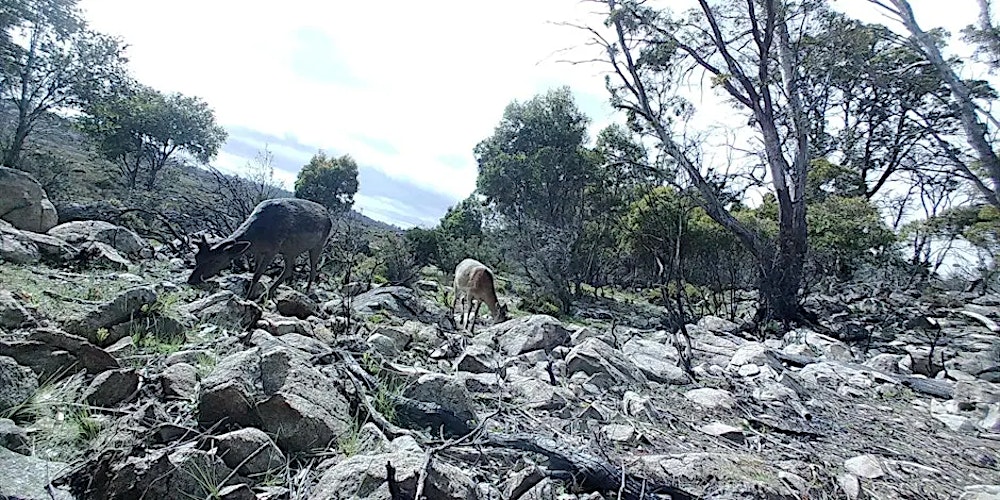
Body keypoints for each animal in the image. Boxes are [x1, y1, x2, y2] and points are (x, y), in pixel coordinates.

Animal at [187, 198, 333, 299]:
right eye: (197, 257)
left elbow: (257, 275)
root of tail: (329, 218)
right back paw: (269, 292)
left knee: (313, 269)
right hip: (290, 250)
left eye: (216, 260)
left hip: (319, 244)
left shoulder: (273, 249)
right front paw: (252, 295)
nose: (191, 279)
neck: (258, 237)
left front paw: (246, 298)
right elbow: (255, 271)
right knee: (289, 269)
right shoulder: (259, 251)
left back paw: (306, 292)